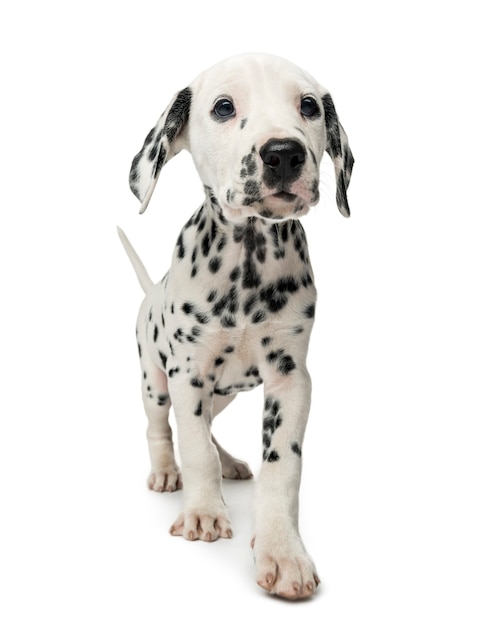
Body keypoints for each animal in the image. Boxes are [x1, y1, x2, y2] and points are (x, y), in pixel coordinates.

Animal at [120, 51, 352, 596]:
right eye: (223, 107)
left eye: (308, 105)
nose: (284, 153)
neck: (247, 262)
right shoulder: (187, 374)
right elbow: (193, 448)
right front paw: (204, 512)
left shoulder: (291, 380)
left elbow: (282, 466)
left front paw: (284, 552)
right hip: (156, 381)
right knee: (164, 428)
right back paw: (167, 472)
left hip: (222, 392)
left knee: (208, 427)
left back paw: (228, 462)